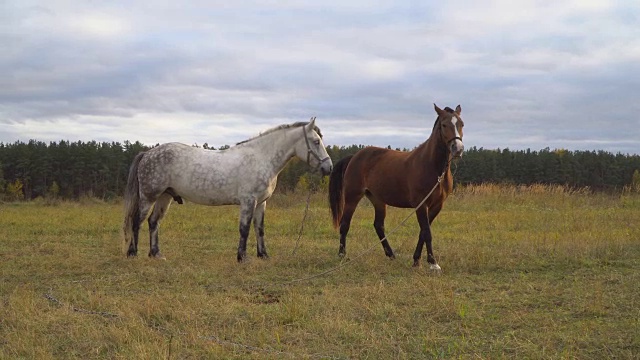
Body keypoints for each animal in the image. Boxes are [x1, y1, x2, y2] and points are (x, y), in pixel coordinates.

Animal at [124, 119, 336, 262]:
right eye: (316, 141)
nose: (329, 168)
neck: (262, 157)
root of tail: (147, 153)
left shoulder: (261, 203)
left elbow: (259, 229)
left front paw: (263, 255)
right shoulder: (248, 201)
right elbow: (244, 229)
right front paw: (242, 257)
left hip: (164, 197)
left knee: (153, 222)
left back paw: (156, 254)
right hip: (149, 197)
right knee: (137, 222)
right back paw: (132, 253)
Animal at [330, 104, 464, 270]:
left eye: (461, 124)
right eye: (444, 125)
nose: (458, 148)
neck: (434, 168)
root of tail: (354, 157)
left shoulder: (437, 206)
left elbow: (423, 232)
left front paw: (416, 260)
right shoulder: (421, 205)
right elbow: (427, 232)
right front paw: (433, 263)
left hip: (378, 200)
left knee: (378, 225)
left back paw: (391, 254)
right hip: (352, 197)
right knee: (345, 224)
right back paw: (342, 255)